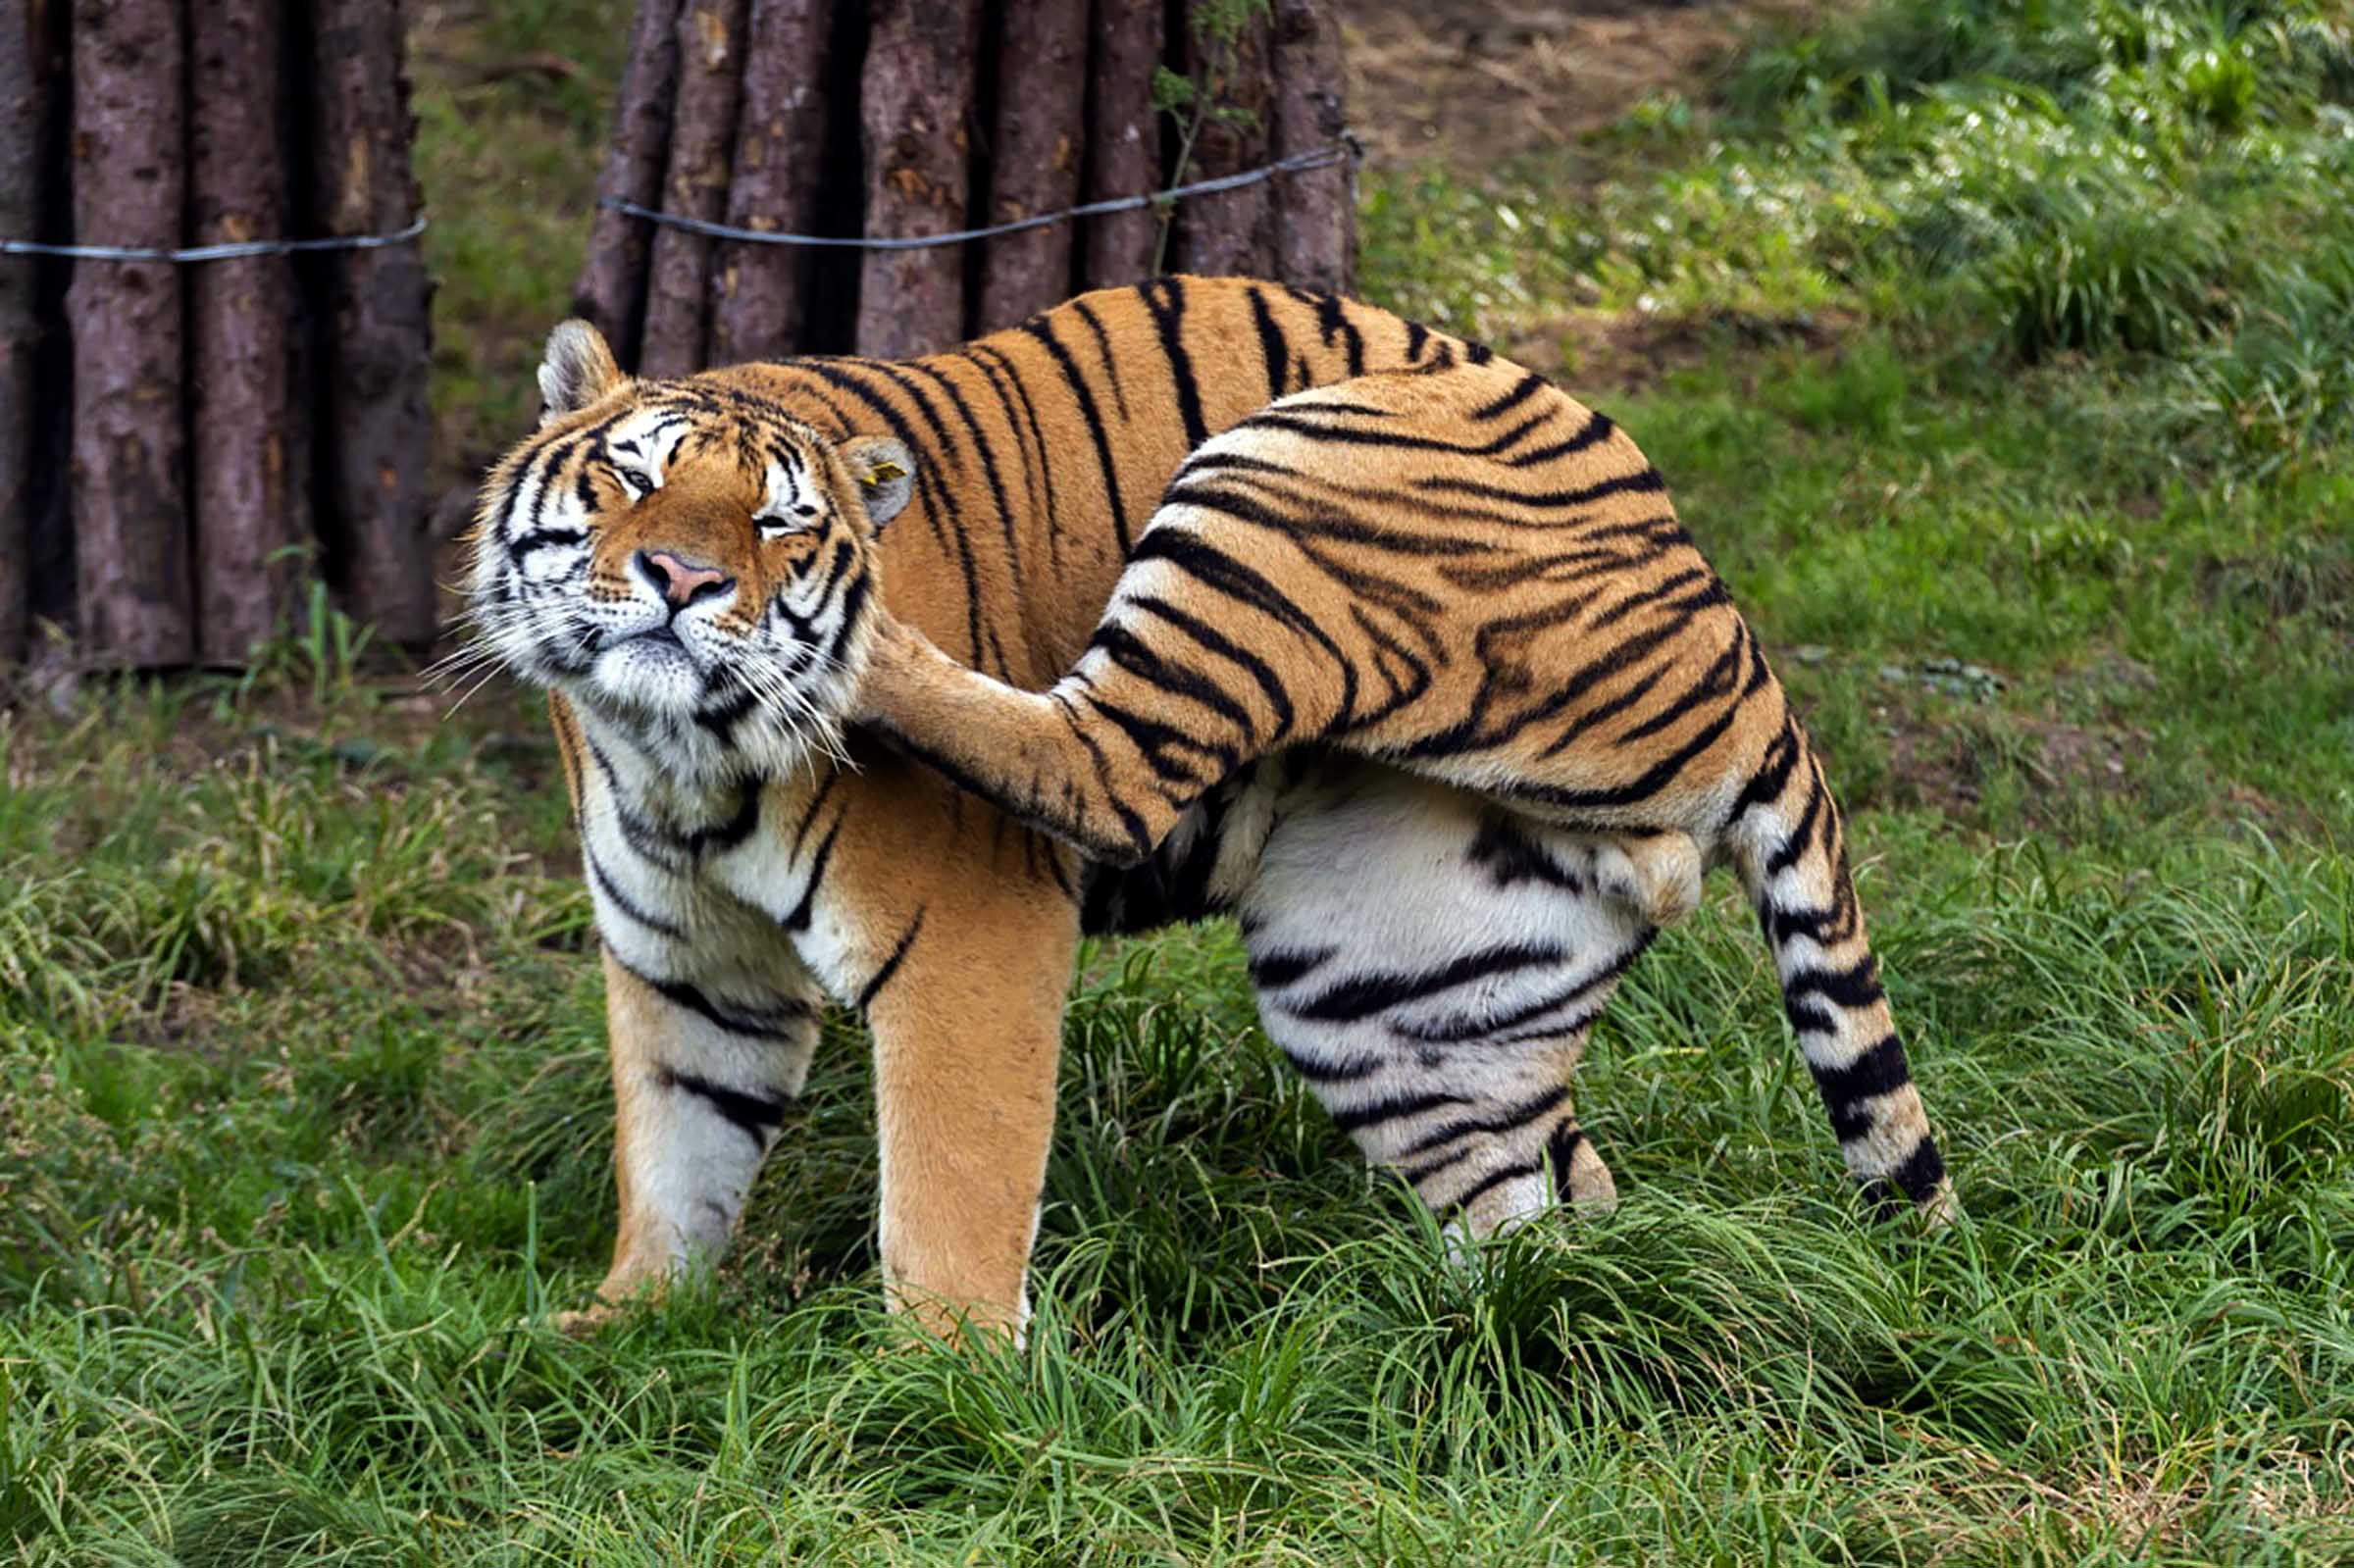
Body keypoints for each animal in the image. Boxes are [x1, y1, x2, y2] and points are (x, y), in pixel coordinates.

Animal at [463, 274, 1949, 1337]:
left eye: (778, 522)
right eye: (636, 476)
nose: (684, 580)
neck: (668, 750)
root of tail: (1732, 631)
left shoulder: (966, 944)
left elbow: (946, 1199)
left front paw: (938, 1401)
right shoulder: (685, 965)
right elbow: (674, 1162)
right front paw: (606, 1337)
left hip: (1292, 481)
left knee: (1104, 762)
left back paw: (865, 654)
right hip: (1389, 986)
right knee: (1542, 1196)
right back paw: (1481, 1333)